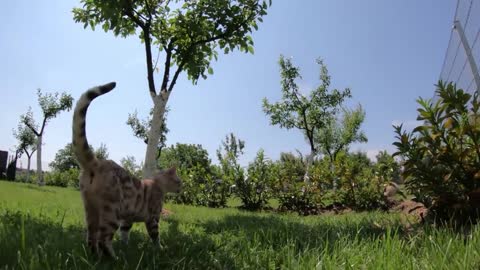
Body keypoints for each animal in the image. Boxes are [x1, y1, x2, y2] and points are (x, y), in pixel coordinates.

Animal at [71, 81, 182, 258]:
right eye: (179, 181)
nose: (182, 188)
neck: (157, 184)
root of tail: (97, 163)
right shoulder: (153, 218)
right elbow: (155, 236)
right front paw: (160, 249)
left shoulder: (127, 219)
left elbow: (124, 234)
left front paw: (127, 247)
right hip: (111, 212)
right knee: (103, 239)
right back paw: (114, 258)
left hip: (90, 208)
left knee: (91, 237)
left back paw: (96, 257)